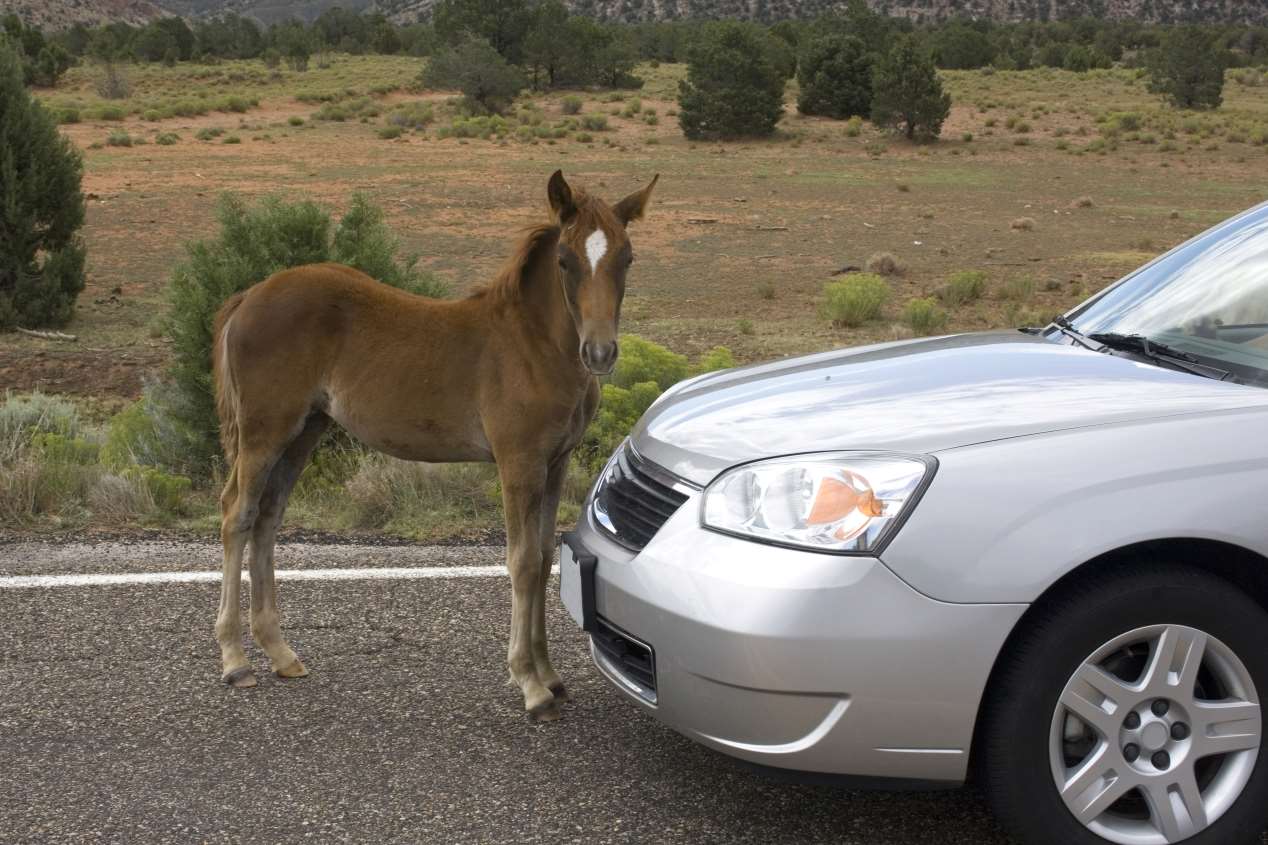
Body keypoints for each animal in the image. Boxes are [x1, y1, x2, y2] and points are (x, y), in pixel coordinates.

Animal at [211, 171, 659, 715]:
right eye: (565, 261)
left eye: (627, 257)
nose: (599, 352)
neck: (535, 346)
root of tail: (250, 295)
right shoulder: (518, 462)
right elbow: (522, 562)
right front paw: (529, 684)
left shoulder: (555, 462)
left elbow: (543, 557)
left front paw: (550, 675)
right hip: (265, 430)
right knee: (238, 515)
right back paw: (235, 660)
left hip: (304, 429)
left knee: (268, 518)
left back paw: (280, 652)